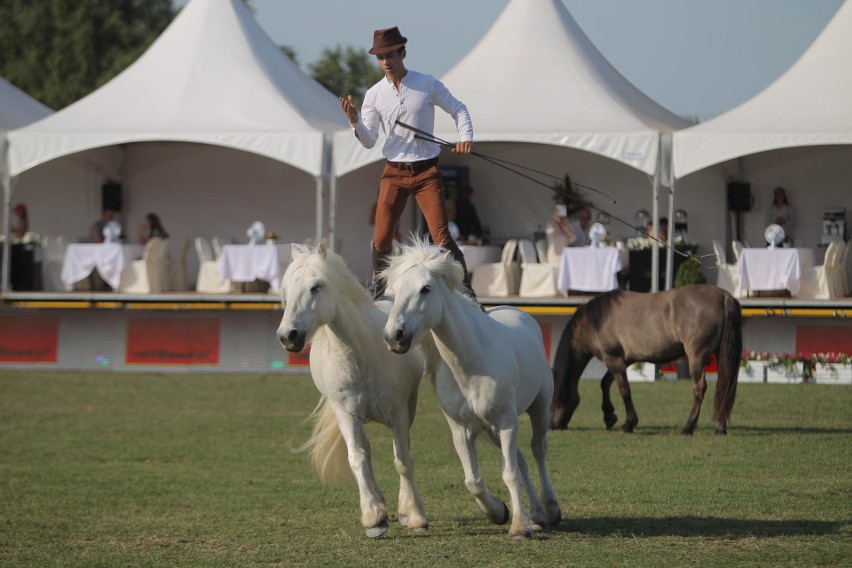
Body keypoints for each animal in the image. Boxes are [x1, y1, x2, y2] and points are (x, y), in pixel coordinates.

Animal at [278, 244, 430, 536]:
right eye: (286, 289)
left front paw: (415, 516)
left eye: (315, 287)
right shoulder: (346, 415)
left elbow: (402, 459)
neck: (362, 355)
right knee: (366, 452)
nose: (288, 336)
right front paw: (373, 518)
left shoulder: (399, 413)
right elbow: (357, 458)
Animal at [382, 239, 560, 536]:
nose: (394, 336)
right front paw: (499, 512)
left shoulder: (508, 422)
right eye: (394, 291)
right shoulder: (462, 430)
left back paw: (551, 508)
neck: (472, 363)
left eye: (425, 288)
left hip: (539, 409)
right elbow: (473, 481)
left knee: (538, 451)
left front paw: (518, 527)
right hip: (492, 430)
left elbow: (509, 473)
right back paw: (536, 514)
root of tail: (519, 312)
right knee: (522, 460)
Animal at [552, 284, 740, 434]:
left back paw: (688, 427)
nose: (553, 424)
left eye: (557, 394)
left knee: (700, 388)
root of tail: (723, 295)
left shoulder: (613, 359)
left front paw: (628, 424)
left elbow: (624, 390)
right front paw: (609, 416)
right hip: (720, 354)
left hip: (696, 357)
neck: (596, 321)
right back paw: (720, 428)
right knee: (723, 386)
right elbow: (605, 383)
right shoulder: (622, 360)